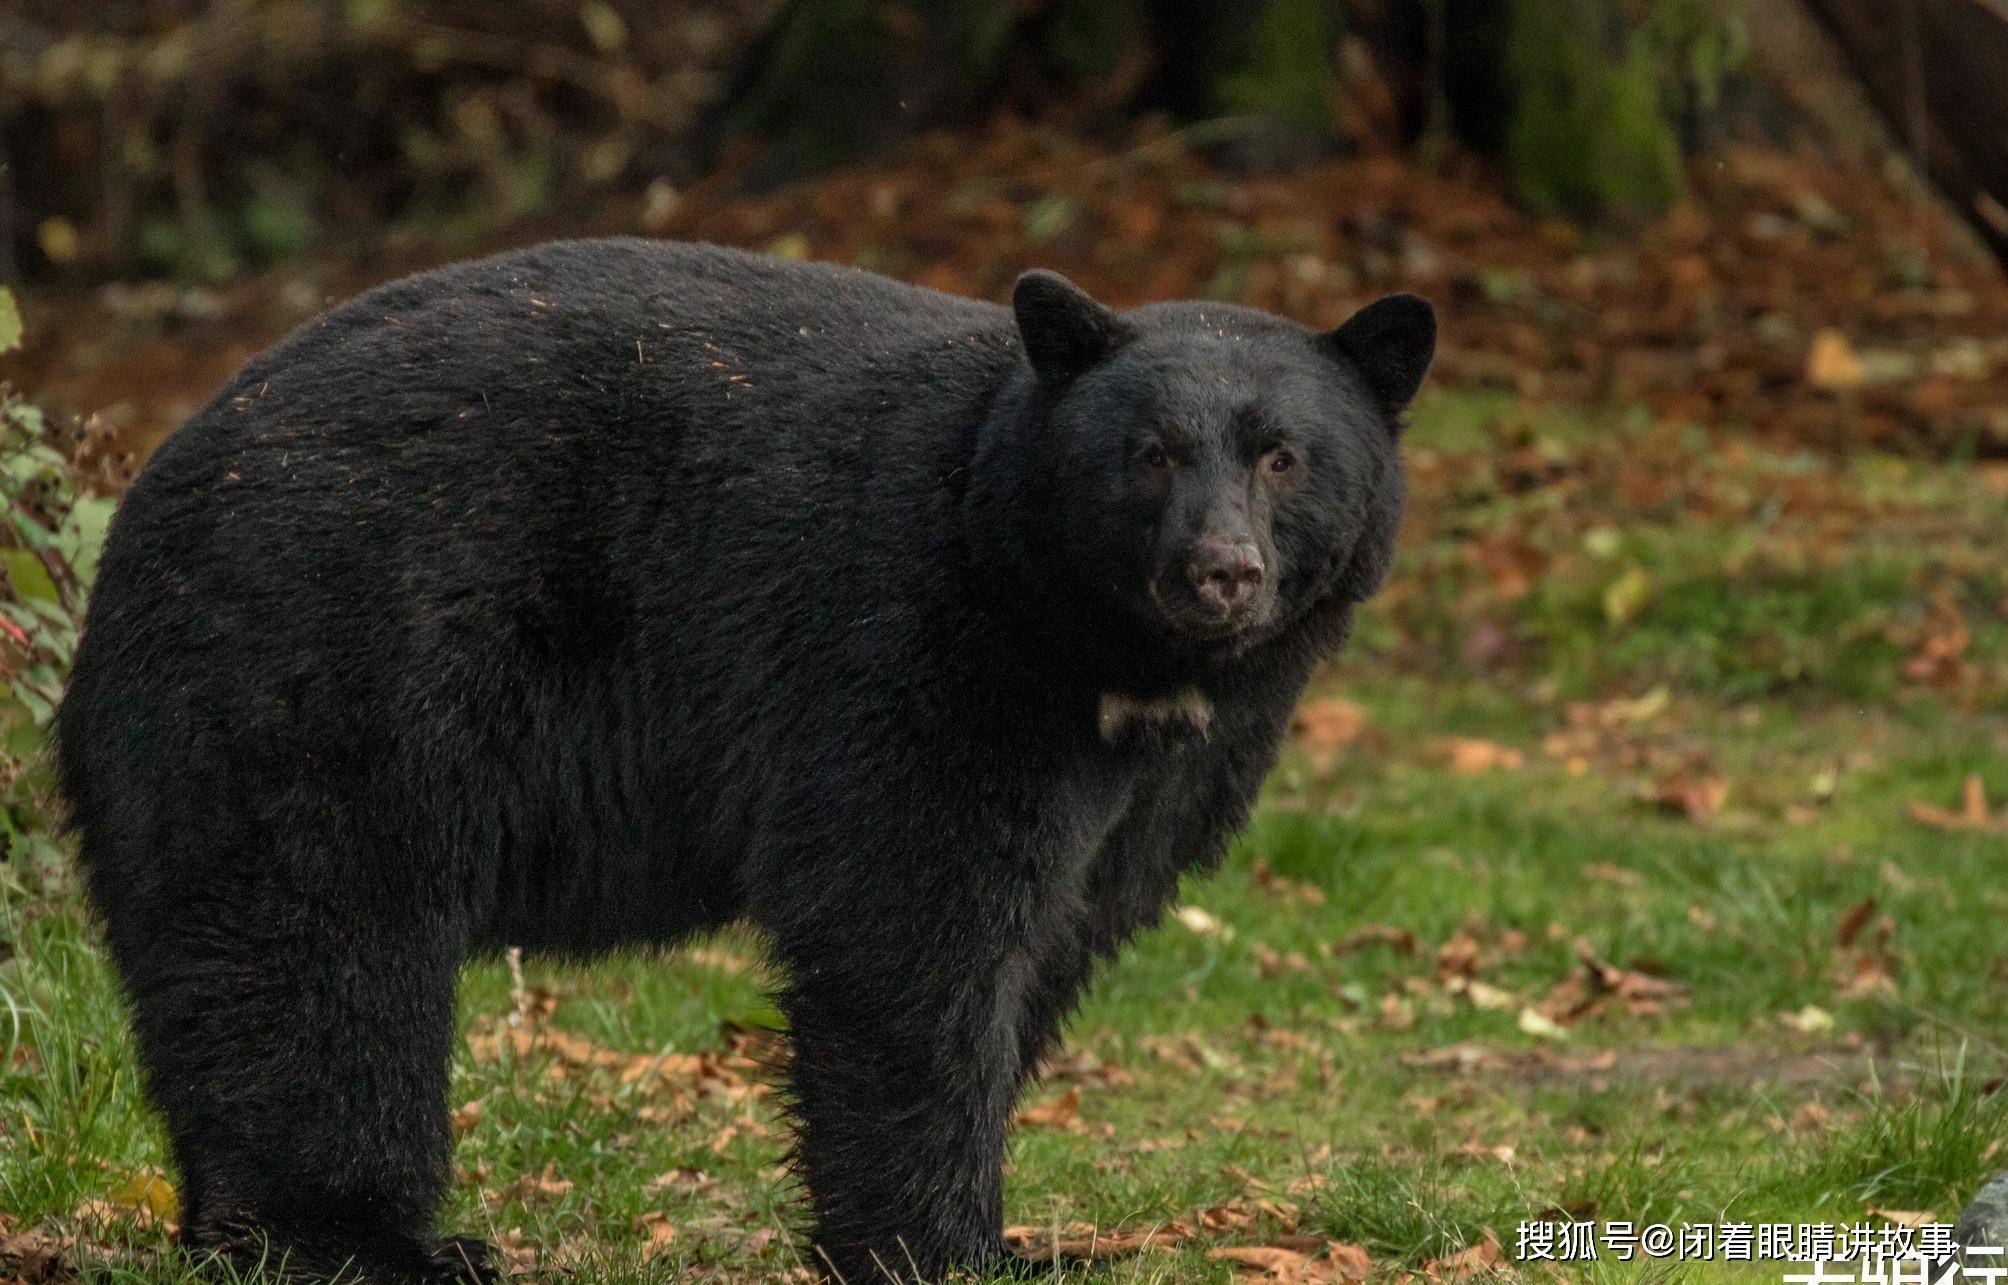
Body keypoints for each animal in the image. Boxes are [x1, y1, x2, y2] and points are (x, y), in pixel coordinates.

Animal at [54, 238, 1437, 1276]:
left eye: (1283, 456)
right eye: (1151, 453)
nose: (1220, 573)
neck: (1088, 643)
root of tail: (142, 504)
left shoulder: (1174, 768)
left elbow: (1062, 928)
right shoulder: (911, 642)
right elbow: (907, 922)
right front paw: (941, 1244)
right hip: (325, 663)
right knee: (321, 955)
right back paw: (366, 1241)